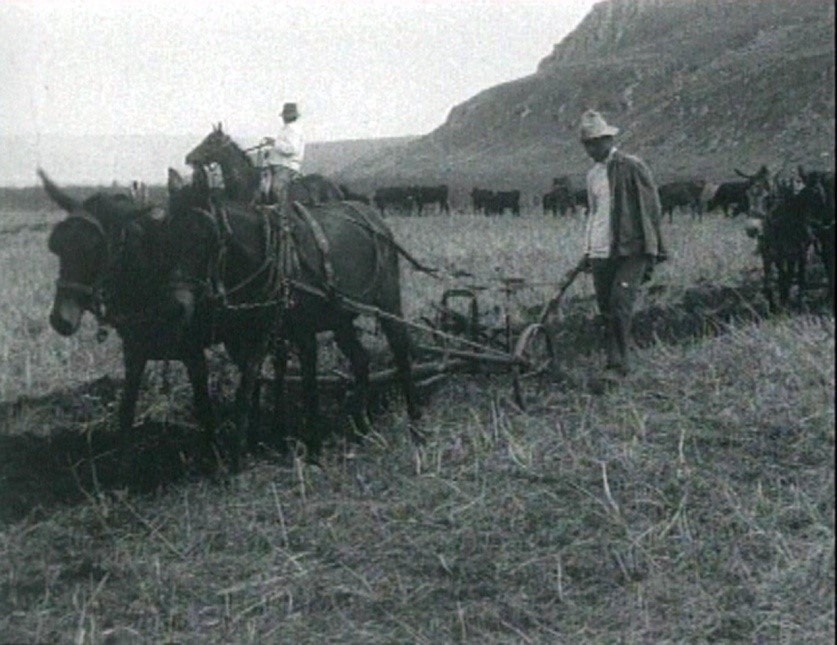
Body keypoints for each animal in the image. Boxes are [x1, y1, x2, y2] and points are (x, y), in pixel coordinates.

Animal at [39, 167, 217, 452]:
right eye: (57, 246)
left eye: (97, 249)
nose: (61, 319)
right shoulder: (134, 352)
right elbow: (126, 411)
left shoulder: (193, 353)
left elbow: (204, 409)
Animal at [166, 166, 422, 458]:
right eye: (166, 233)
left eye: (205, 238)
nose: (177, 305)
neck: (269, 255)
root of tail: (372, 216)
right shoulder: (254, 336)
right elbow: (248, 389)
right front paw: (245, 448)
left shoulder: (303, 335)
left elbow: (308, 386)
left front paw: (313, 449)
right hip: (340, 318)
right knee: (360, 360)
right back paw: (362, 426)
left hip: (389, 301)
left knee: (401, 350)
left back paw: (414, 421)